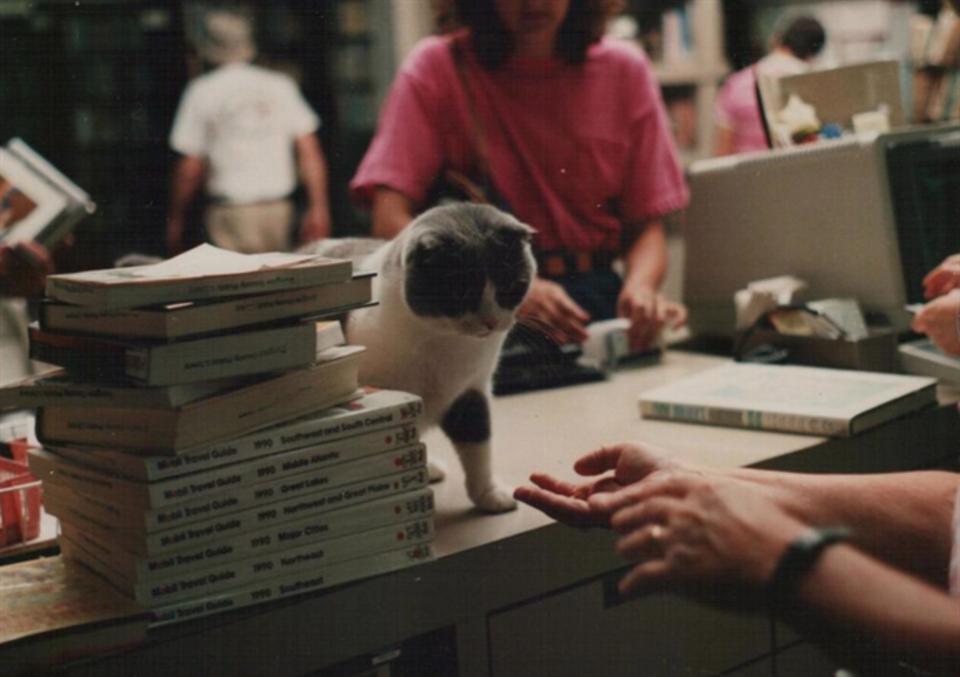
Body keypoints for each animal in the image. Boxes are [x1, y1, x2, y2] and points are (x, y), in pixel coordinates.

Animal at [304, 203, 536, 510]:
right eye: (461, 291)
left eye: (511, 287)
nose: (491, 322)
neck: (445, 342)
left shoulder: (471, 389)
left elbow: (478, 445)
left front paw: (489, 494)